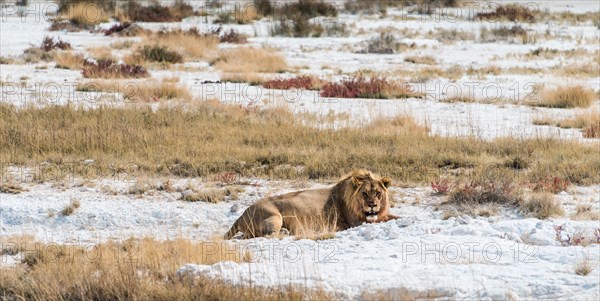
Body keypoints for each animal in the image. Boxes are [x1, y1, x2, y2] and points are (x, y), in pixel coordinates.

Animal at [225, 169, 398, 239]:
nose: (372, 205)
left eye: (378, 193)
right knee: (269, 235)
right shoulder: (356, 222)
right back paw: (285, 232)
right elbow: (389, 218)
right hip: (274, 216)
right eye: (364, 193)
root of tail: (241, 215)